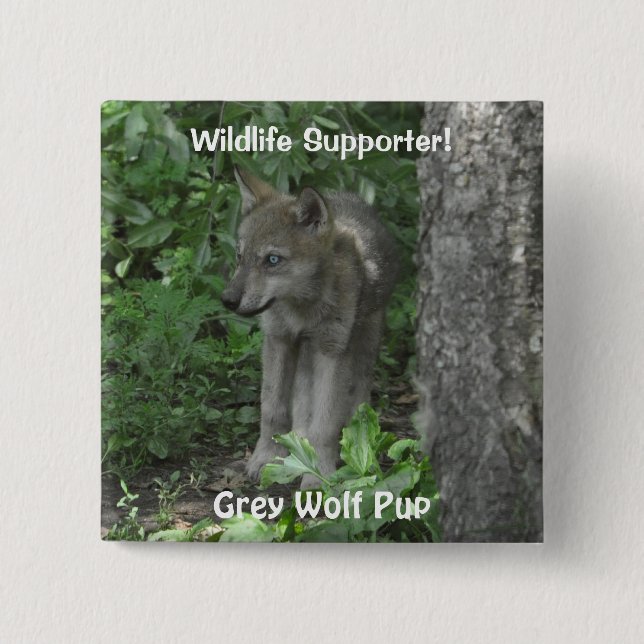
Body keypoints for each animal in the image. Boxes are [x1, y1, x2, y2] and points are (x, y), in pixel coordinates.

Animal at [221, 166, 399, 487]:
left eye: (272, 260)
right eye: (240, 256)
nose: (227, 300)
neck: (300, 309)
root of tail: (352, 196)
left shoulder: (332, 351)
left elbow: (325, 424)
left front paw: (320, 476)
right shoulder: (278, 340)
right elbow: (272, 411)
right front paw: (266, 458)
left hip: (363, 344)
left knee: (358, 399)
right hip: (304, 351)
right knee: (302, 404)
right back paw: (297, 444)